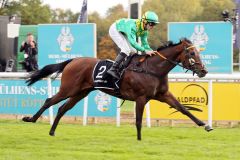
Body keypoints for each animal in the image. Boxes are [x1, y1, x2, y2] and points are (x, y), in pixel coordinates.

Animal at [22, 38, 212, 140]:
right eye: (192, 53)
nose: (204, 71)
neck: (152, 69)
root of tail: (73, 60)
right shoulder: (141, 98)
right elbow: (138, 120)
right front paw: (139, 139)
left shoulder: (163, 95)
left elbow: (183, 109)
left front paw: (205, 125)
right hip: (68, 89)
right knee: (49, 101)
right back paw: (30, 119)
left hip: (81, 92)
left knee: (62, 108)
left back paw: (52, 131)